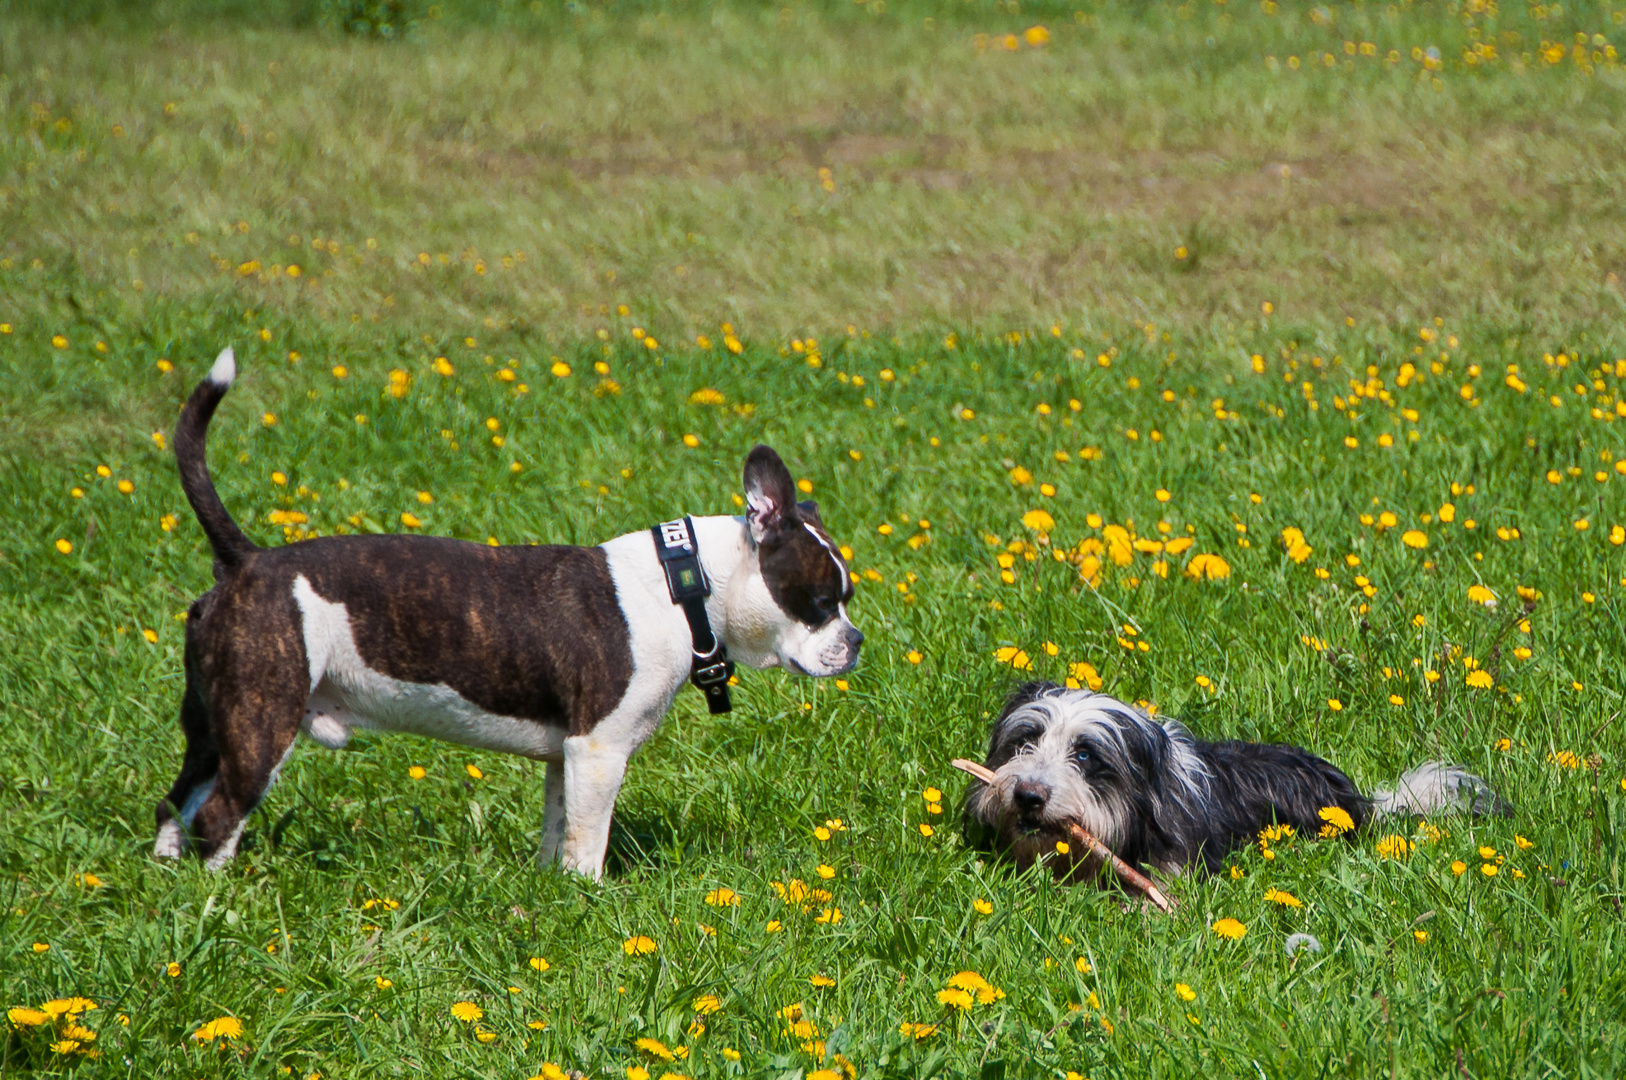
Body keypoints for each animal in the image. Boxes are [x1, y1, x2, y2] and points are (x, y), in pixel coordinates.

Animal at [153, 349, 865, 871]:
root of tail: (247, 561)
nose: (855, 640)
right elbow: (589, 842)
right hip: (261, 719)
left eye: (846, 603)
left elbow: (559, 828)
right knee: (219, 815)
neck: (685, 584)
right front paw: (589, 899)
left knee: (176, 802)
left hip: (214, 721)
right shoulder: (600, 750)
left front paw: (552, 890)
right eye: (821, 602)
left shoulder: (568, 757)